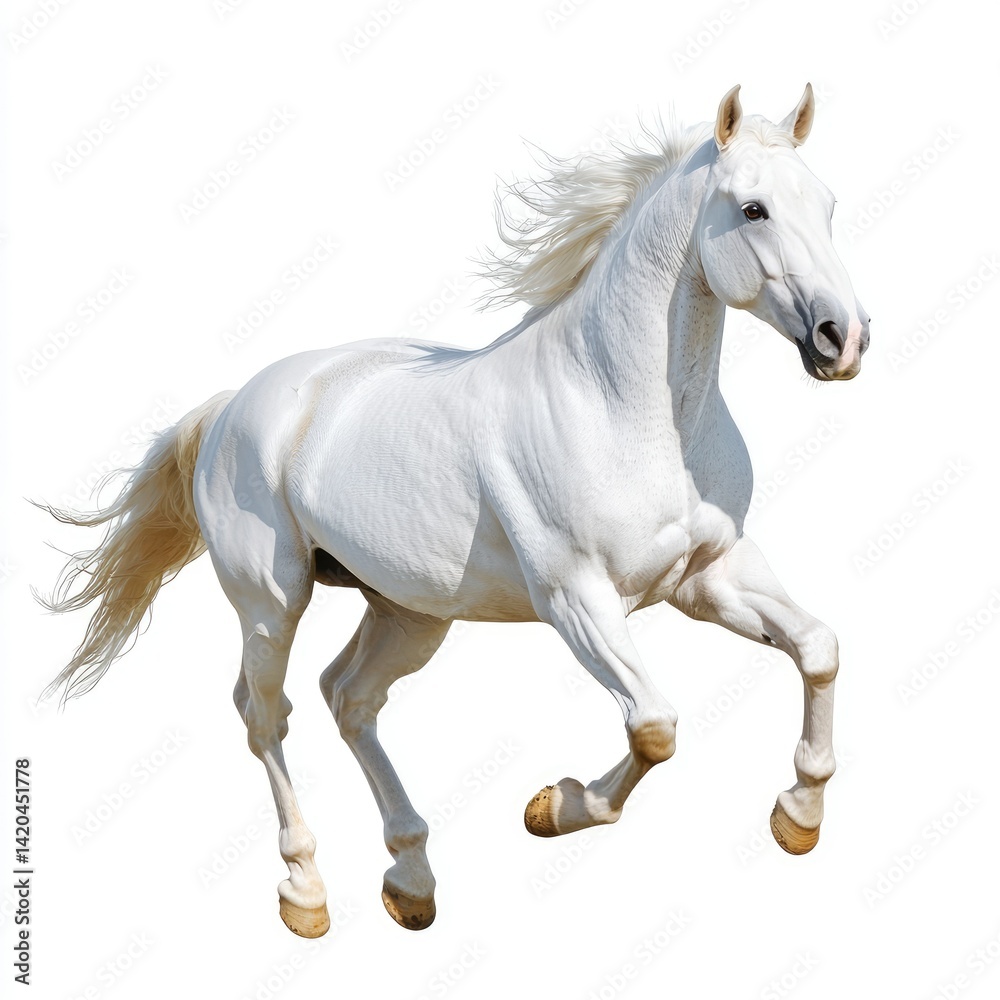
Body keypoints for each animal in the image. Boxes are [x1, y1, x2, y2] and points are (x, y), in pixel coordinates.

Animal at [39, 84, 869, 939]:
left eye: (827, 204)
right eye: (753, 209)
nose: (843, 339)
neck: (624, 407)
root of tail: (235, 403)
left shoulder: (708, 576)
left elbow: (819, 648)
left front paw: (798, 818)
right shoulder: (577, 598)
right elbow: (655, 725)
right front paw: (553, 808)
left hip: (409, 611)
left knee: (349, 698)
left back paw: (410, 881)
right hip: (271, 601)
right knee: (265, 714)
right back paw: (306, 893)